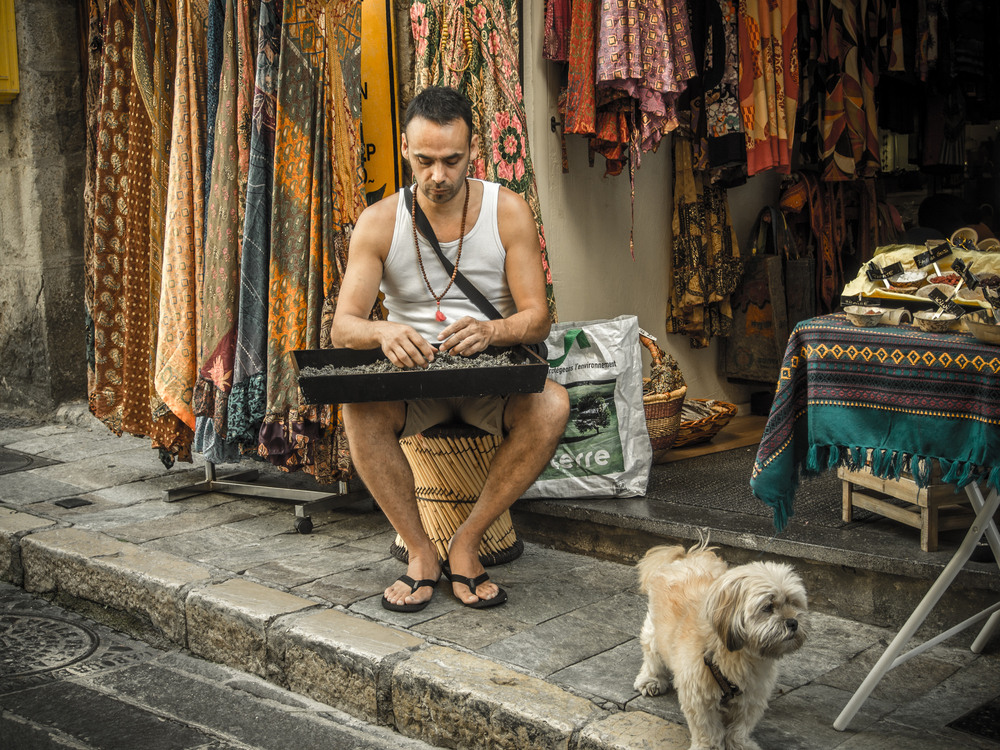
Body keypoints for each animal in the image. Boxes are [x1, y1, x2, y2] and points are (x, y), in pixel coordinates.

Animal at [636, 544, 808, 750]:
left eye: (793, 602)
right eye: (767, 607)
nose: (793, 622)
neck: (737, 655)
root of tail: (688, 555)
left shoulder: (752, 696)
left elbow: (740, 727)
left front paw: (739, 744)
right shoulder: (698, 696)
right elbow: (707, 729)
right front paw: (709, 746)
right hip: (655, 629)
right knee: (652, 652)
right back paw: (651, 679)